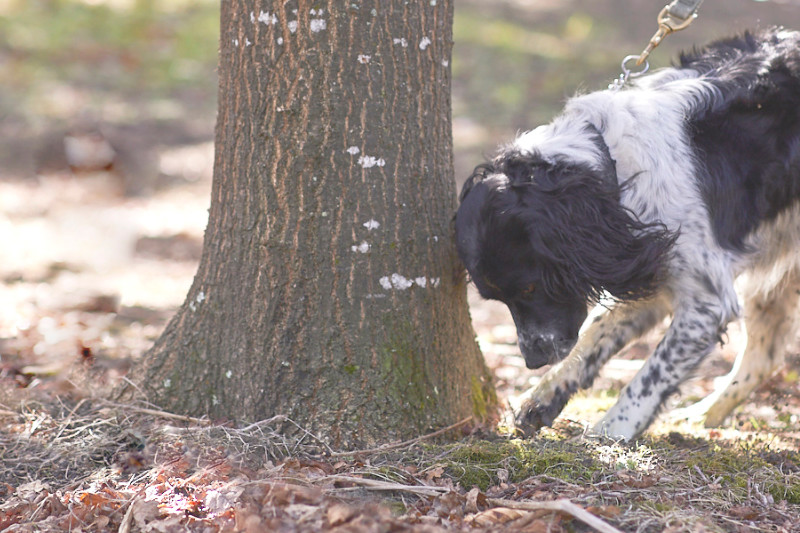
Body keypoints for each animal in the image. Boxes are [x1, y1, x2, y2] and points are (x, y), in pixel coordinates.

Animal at [454, 27, 800, 438]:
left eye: (530, 288)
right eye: (499, 299)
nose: (532, 360)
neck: (613, 166)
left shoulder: (704, 299)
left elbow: (651, 374)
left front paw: (612, 431)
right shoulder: (644, 262)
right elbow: (595, 332)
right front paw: (544, 394)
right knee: (765, 354)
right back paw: (700, 416)